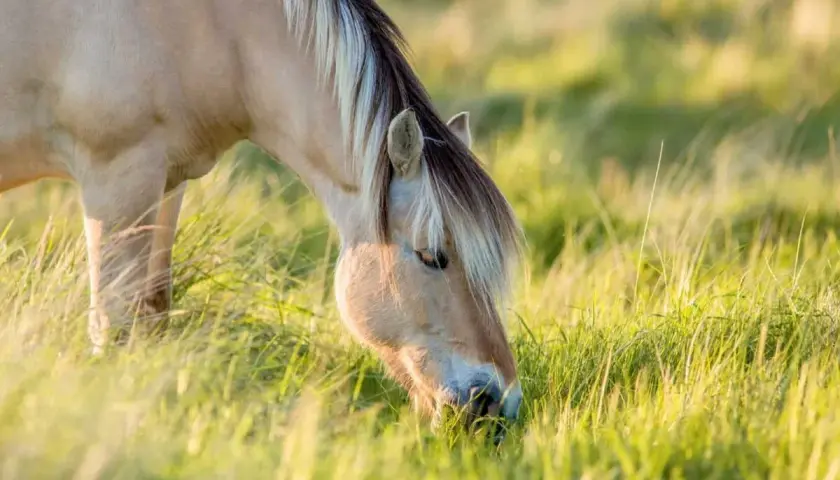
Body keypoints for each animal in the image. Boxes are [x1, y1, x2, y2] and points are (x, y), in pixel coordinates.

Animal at [0, 0, 525, 437]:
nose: (499, 403)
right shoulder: (117, 177)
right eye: (432, 256)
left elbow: (154, 310)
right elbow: (116, 327)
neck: (209, 28)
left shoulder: (165, 183)